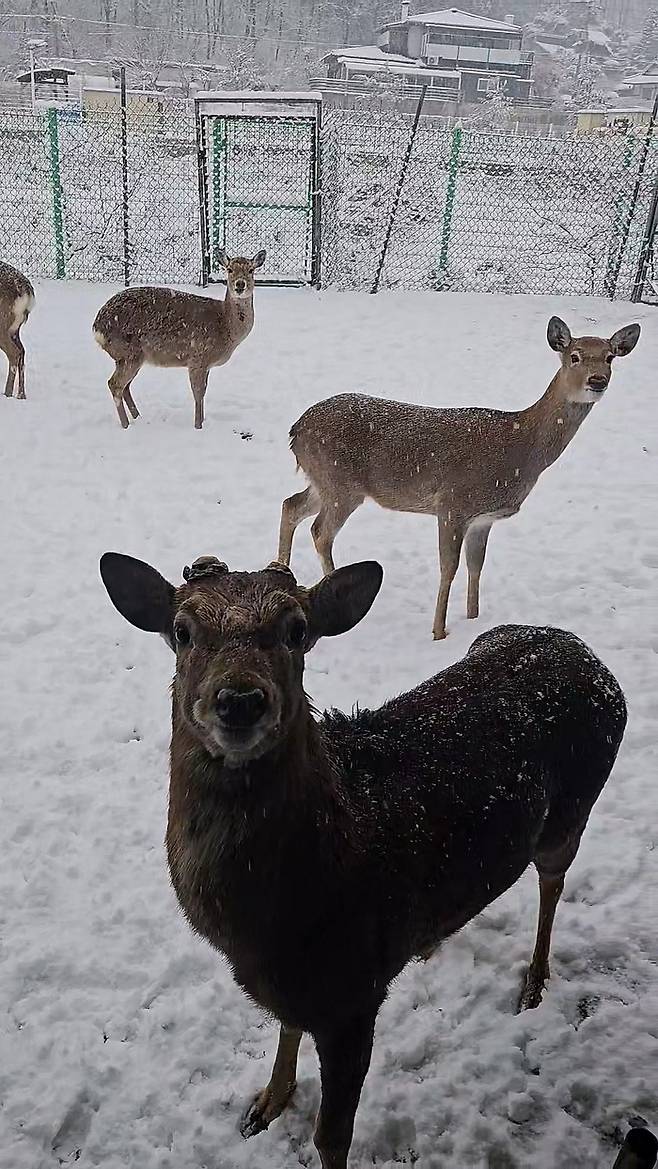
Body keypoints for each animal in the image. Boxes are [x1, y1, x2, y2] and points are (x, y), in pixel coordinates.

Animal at [93, 248, 267, 432]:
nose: (240, 285)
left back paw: (137, 417)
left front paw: (203, 421)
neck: (225, 326)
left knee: (125, 386)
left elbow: (203, 392)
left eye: (251, 270)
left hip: (127, 357)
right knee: (115, 384)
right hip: (129, 353)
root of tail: (97, 327)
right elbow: (198, 393)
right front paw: (198, 426)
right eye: (229, 269)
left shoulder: (206, 365)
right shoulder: (197, 357)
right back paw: (126, 425)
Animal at [100, 549, 626, 1169]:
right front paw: (267, 1102)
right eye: (182, 631)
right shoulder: (301, 989)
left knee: (553, 882)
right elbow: (286, 1030)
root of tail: (585, 652)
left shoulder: (356, 993)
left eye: (297, 630)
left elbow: (332, 1136)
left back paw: (535, 983)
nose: (239, 700)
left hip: (573, 808)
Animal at [279, 317, 645, 640]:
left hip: (322, 481)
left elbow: (476, 565)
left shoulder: (484, 518)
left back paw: (283, 573)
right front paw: (439, 632)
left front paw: (473, 618)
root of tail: (295, 430)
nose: (597, 380)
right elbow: (449, 568)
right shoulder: (453, 503)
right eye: (574, 356)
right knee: (321, 532)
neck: (520, 448)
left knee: (291, 505)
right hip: (341, 483)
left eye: (610, 356)